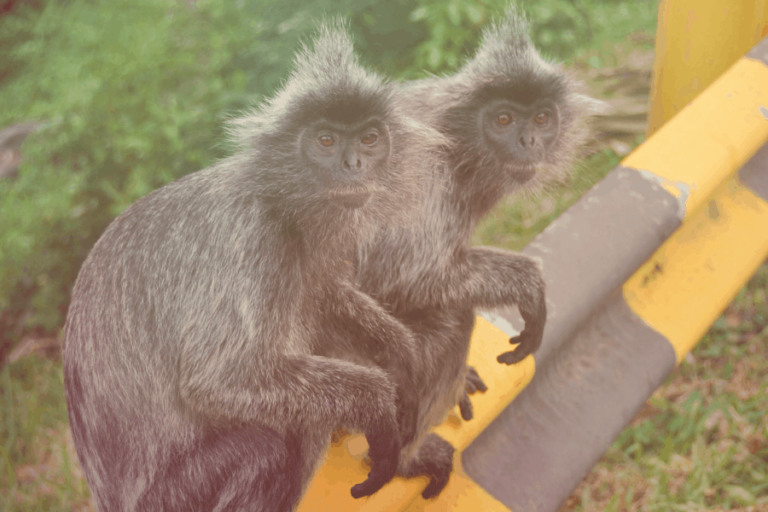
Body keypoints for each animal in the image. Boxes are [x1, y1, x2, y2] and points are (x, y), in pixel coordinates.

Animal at [63, 24, 448, 512]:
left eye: (368, 139)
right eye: (325, 141)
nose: (353, 165)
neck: (278, 199)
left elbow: (325, 296)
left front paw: (403, 359)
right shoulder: (250, 240)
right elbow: (216, 381)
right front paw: (378, 403)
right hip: (173, 497)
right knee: (266, 447)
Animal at [352, 6, 600, 498]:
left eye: (541, 119)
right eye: (503, 120)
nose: (529, 142)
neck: (455, 142)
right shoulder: (423, 174)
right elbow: (412, 278)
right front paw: (530, 285)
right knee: (451, 319)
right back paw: (403, 461)